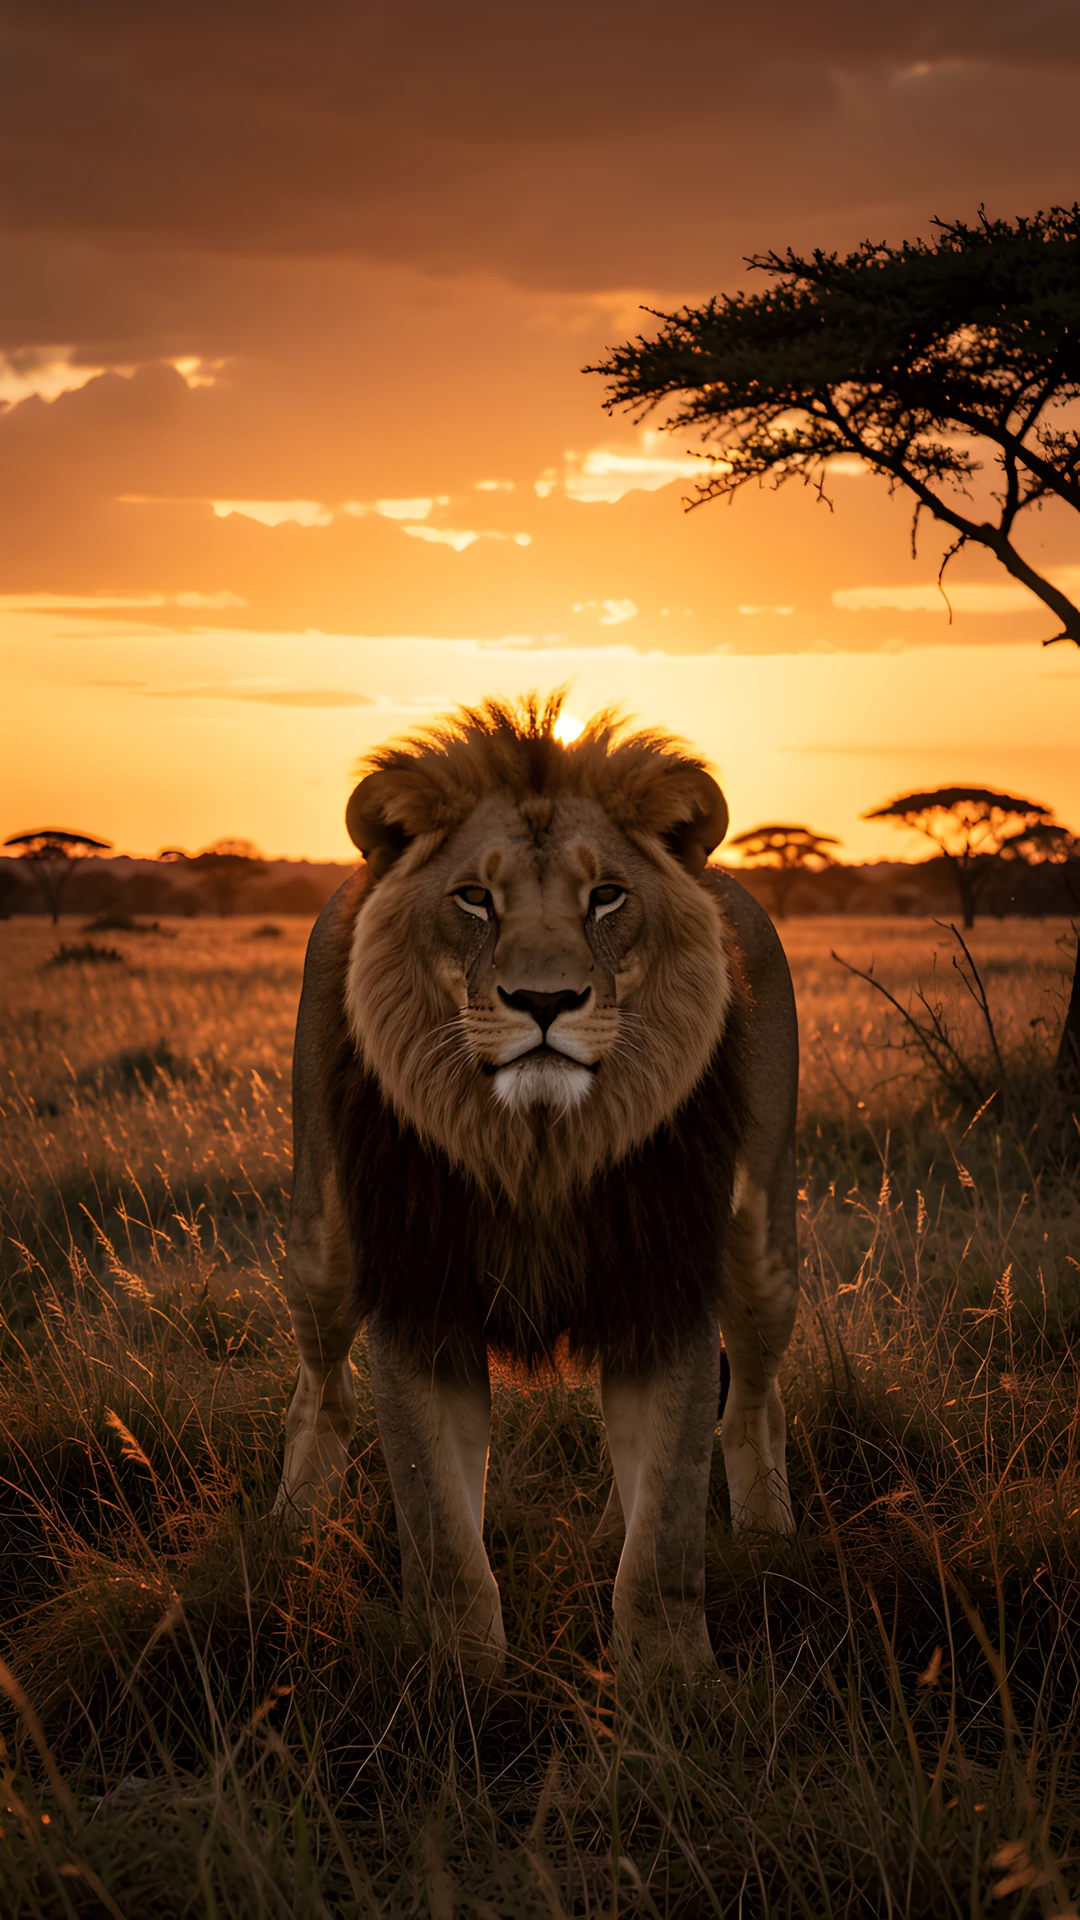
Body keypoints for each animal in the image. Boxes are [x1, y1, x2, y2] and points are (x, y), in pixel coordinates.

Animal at [274, 694, 799, 1679]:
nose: (545, 1002)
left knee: (749, 1401)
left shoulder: (665, 1281)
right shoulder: (419, 1294)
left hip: (760, 1251)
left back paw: (765, 1541)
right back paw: (289, 1532)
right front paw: (457, 1673)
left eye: (608, 897)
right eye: (475, 899)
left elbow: (668, 1520)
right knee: (320, 1390)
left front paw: (669, 1677)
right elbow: (439, 1520)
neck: (540, 1147)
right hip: (321, 1245)